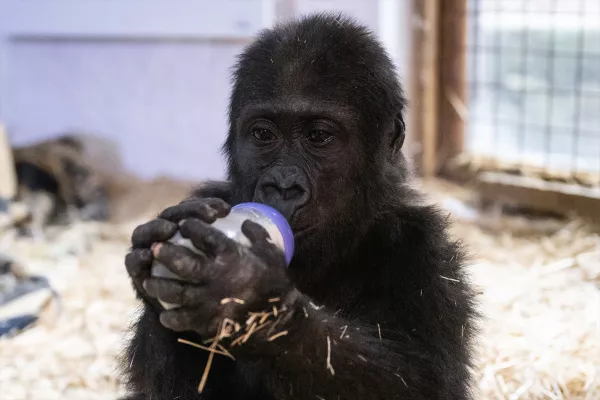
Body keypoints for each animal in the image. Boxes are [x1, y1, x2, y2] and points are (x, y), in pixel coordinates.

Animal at [122, 12, 478, 400]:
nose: (283, 185)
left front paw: (246, 291)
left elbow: (425, 381)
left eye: (318, 136)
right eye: (264, 135)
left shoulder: (426, 250)